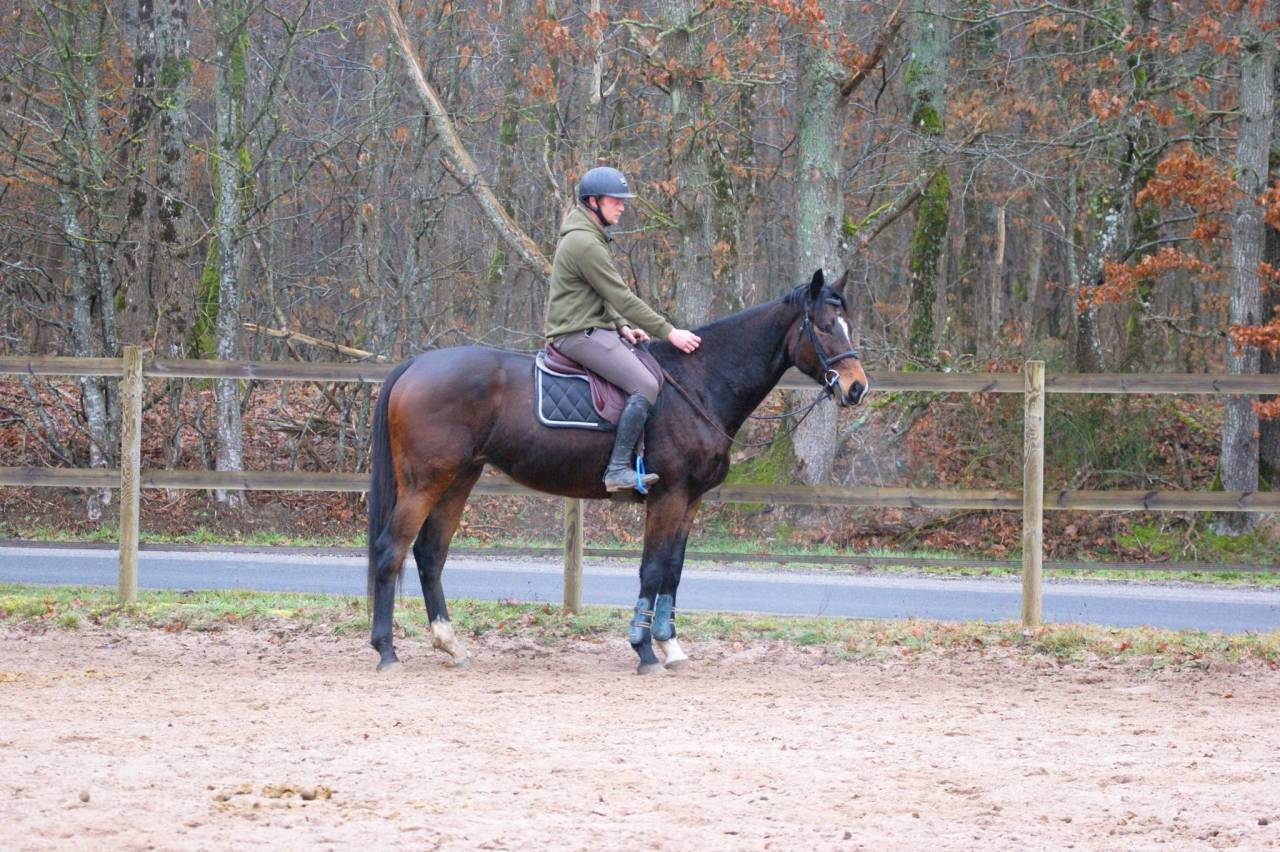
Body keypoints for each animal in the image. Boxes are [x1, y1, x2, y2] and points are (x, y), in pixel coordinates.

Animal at [366, 269, 870, 674]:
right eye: (824, 326)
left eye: (848, 324)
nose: (856, 388)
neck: (698, 383)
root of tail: (416, 364)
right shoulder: (668, 497)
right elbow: (652, 569)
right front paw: (644, 650)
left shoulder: (690, 501)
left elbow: (673, 571)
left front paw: (670, 646)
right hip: (425, 483)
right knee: (392, 550)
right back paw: (386, 650)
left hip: (459, 480)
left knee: (430, 554)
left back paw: (450, 644)